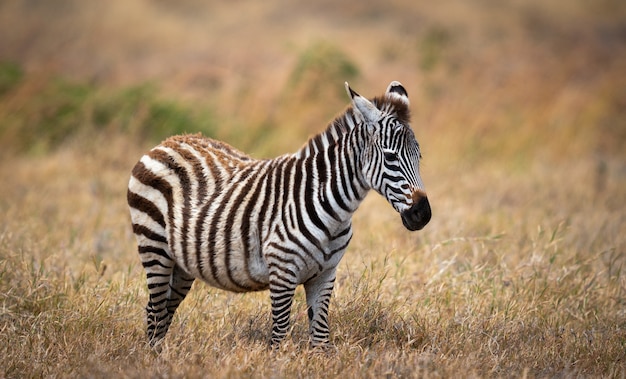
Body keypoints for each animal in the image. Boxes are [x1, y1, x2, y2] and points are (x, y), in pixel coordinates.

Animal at [127, 81, 428, 348]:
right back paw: (154, 359)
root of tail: (169, 141)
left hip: (182, 263)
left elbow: (321, 338)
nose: (422, 214)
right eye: (390, 157)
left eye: (419, 156)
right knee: (155, 310)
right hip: (154, 247)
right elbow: (279, 334)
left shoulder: (326, 274)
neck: (333, 210)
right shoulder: (282, 271)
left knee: (164, 310)